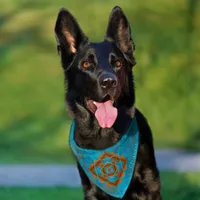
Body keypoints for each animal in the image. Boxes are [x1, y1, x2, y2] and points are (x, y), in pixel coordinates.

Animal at [54, 6, 162, 200]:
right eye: (86, 64)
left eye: (117, 63)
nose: (109, 82)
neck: (103, 134)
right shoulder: (91, 191)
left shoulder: (150, 186)